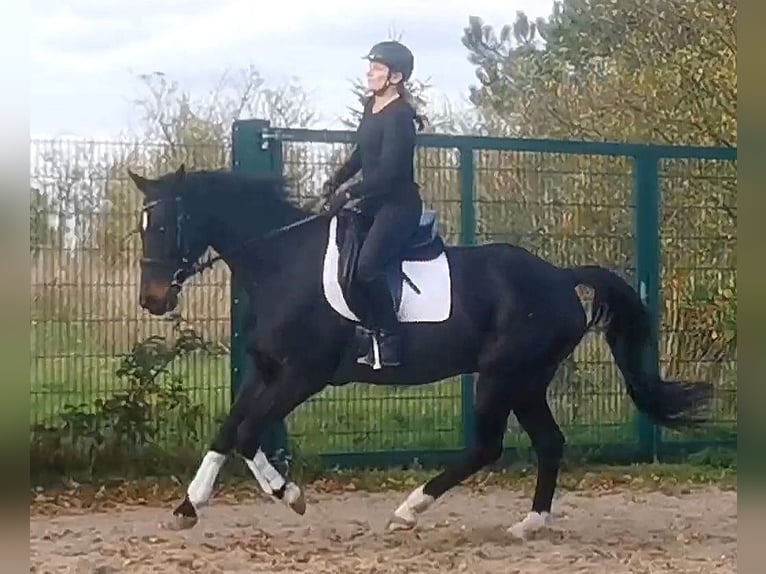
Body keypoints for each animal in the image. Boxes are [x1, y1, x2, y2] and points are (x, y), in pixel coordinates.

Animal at [128, 164, 713, 539]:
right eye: (143, 226)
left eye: (166, 224)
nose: (153, 300)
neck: (282, 262)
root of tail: (560, 277)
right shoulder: (265, 371)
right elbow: (227, 430)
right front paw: (187, 507)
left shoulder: (302, 376)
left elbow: (250, 434)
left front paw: (290, 496)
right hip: (527, 380)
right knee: (549, 443)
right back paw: (529, 523)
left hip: (501, 376)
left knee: (488, 447)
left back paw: (409, 510)